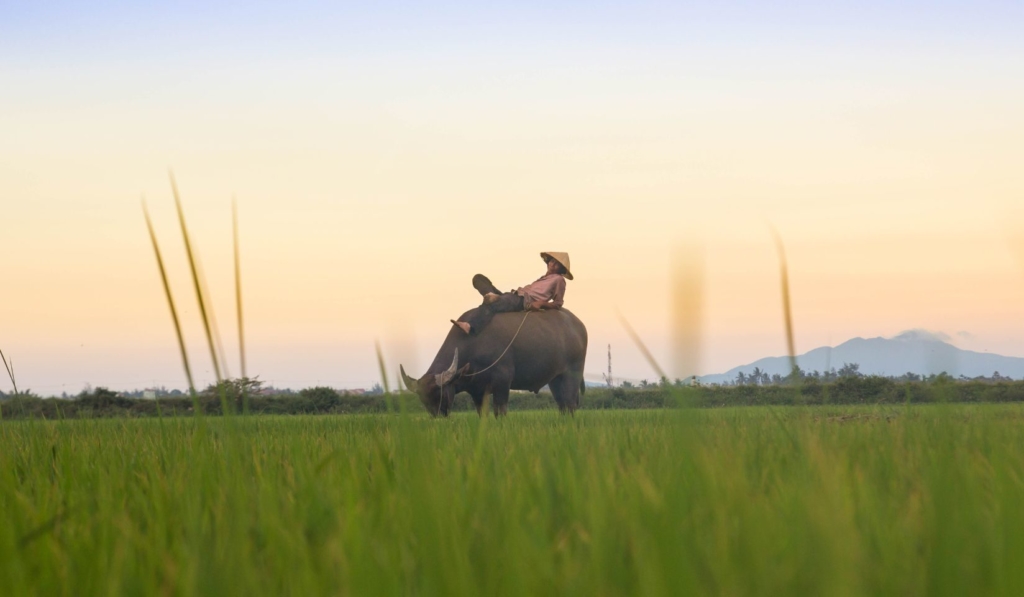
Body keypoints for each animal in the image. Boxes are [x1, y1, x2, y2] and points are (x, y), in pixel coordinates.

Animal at [403, 309, 589, 415]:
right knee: (562, 405)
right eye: (423, 400)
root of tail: (578, 325)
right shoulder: (477, 391)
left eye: (440, 394)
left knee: (570, 404)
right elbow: (482, 415)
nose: (438, 417)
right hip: (555, 379)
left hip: (572, 374)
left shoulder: (502, 382)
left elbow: (500, 412)